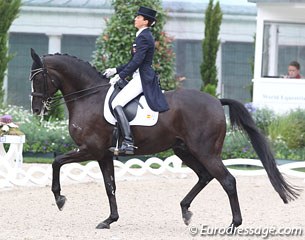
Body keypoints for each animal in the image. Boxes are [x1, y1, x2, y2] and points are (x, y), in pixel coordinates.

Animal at [29, 48, 298, 229]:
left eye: (38, 78)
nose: (36, 109)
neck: (88, 97)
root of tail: (216, 101)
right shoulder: (104, 154)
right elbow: (110, 186)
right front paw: (109, 220)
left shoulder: (90, 149)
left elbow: (56, 162)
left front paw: (60, 199)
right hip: (184, 150)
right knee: (205, 176)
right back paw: (186, 211)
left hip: (206, 151)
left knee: (227, 180)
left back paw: (233, 224)